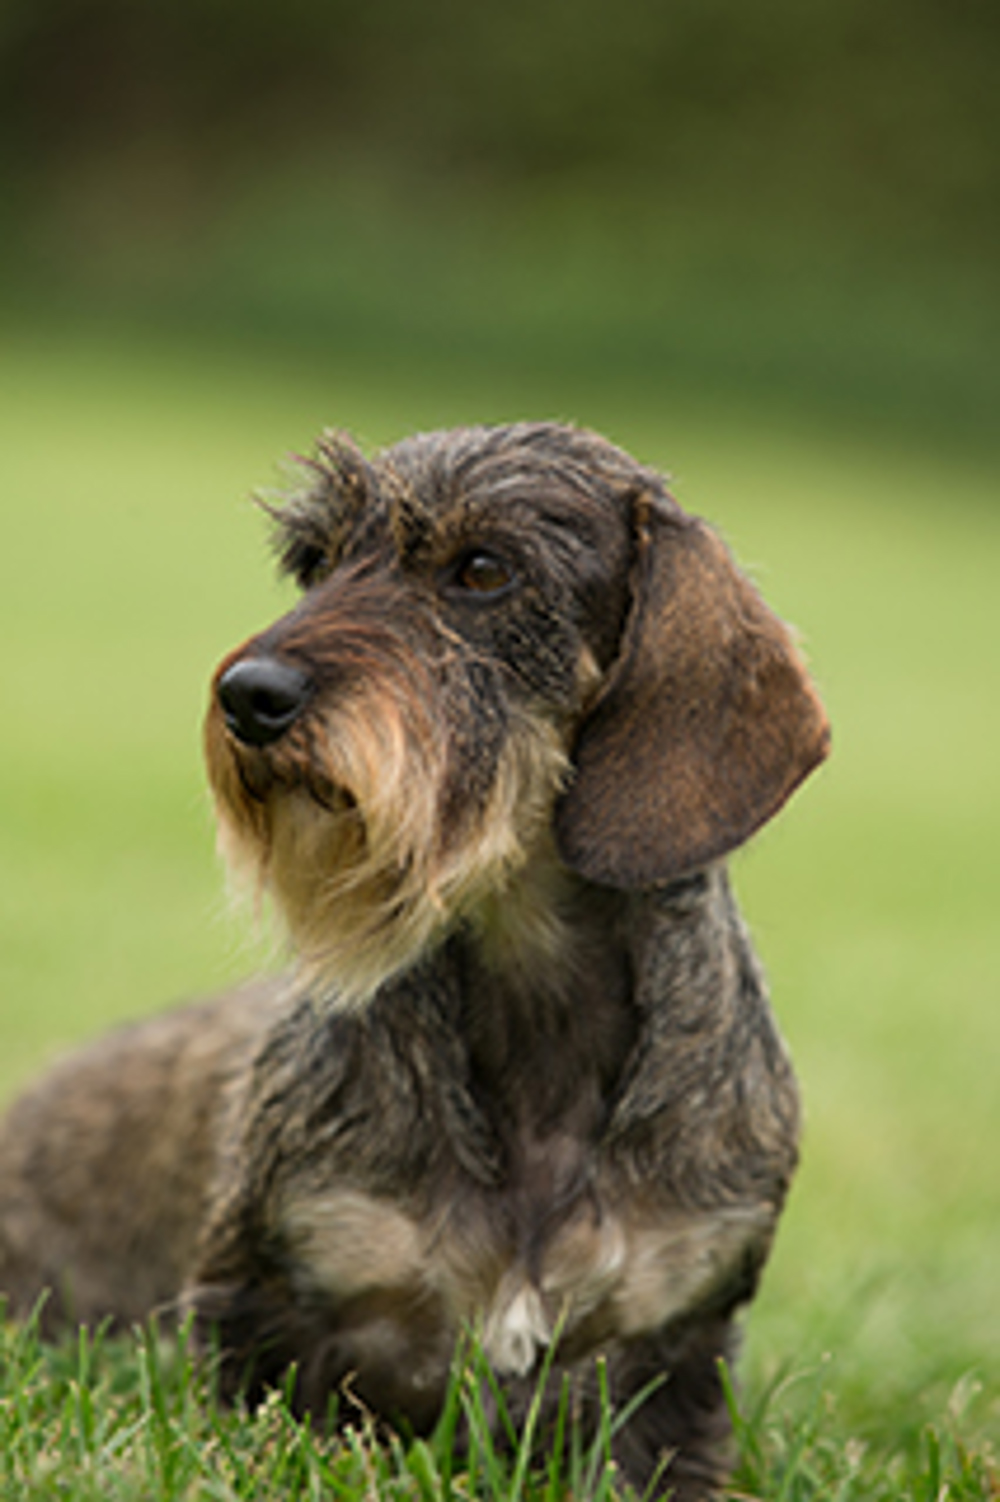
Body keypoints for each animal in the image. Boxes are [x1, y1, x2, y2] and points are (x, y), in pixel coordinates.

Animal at [0, 426, 822, 1502]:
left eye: (483, 569)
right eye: (315, 561)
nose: (248, 695)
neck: (534, 997)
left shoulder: (671, 1362)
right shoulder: (266, 1309)